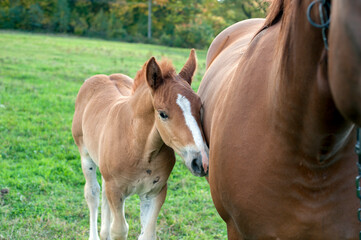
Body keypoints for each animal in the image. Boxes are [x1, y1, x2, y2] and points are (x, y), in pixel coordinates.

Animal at [71, 49, 208, 240]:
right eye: (163, 113)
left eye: (200, 107)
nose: (200, 162)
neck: (139, 148)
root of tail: (103, 76)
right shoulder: (116, 191)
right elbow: (119, 229)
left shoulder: (155, 192)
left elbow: (148, 233)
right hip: (85, 155)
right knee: (93, 194)